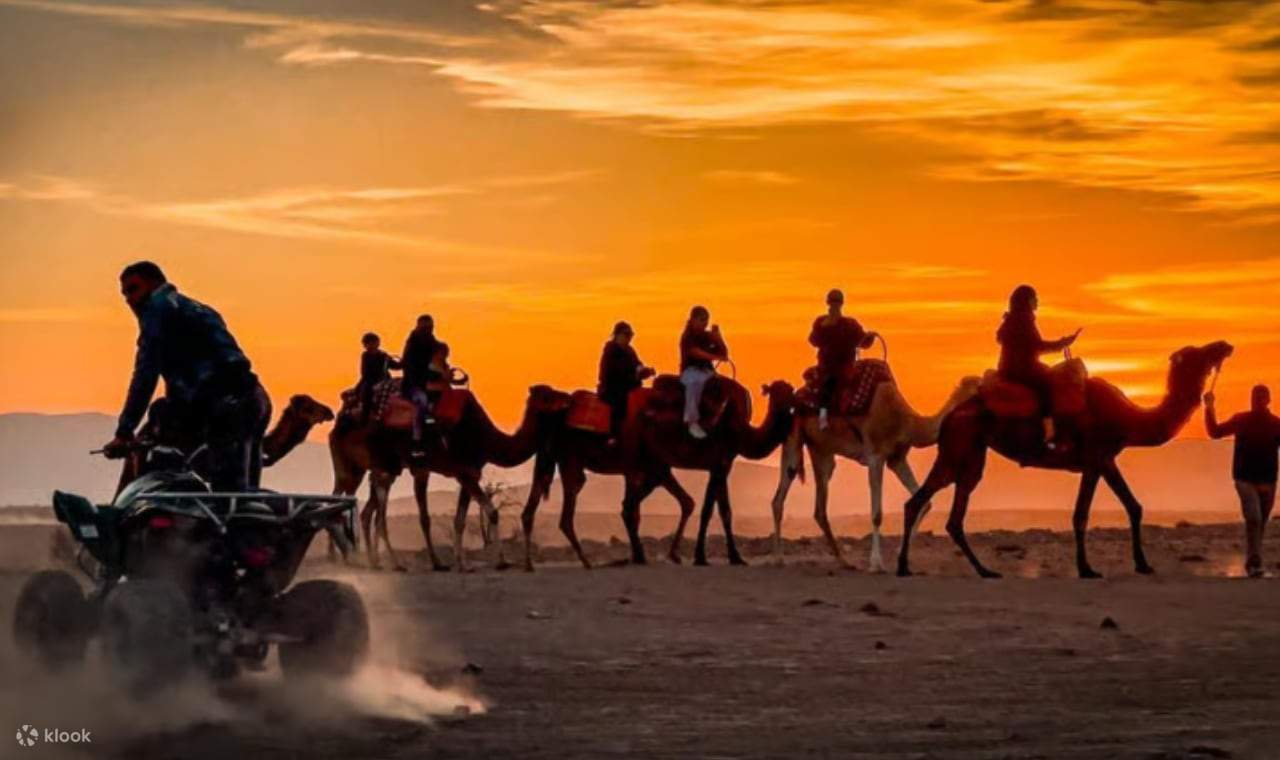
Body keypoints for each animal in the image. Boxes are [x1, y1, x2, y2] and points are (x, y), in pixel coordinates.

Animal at [328, 385, 571, 572]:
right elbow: (491, 512)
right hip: (358, 468)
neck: (484, 437)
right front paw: (500, 561)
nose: (568, 397)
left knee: (366, 509)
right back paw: (365, 561)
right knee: (355, 503)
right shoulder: (462, 472)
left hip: (380, 467)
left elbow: (460, 520)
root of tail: (341, 422)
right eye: (549, 396)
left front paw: (463, 563)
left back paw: (371, 561)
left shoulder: (468, 474)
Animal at [518, 412, 697, 571]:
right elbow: (685, 502)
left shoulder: (642, 471)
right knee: (565, 516)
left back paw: (529, 564)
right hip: (570, 462)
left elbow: (633, 508)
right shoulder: (657, 469)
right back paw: (586, 561)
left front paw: (642, 555)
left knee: (531, 508)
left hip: (554, 461)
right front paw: (668, 555)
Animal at [620, 377, 796, 566]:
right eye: (778, 394)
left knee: (631, 503)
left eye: (790, 392)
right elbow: (715, 510)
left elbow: (717, 510)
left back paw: (646, 555)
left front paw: (720, 556)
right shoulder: (719, 464)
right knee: (631, 503)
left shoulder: (722, 465)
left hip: (653, 464)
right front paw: (715, 557)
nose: (790, 407)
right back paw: (641, 556)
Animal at [769, 375, 981, 571]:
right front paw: (876, 563)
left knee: (814, 507)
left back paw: (844, 562)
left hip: (821, 450)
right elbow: (877, 514)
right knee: (785, 496)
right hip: (796, 439)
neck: (907, 422)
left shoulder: (897, 459)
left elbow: (925, 503)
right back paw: (778, 559)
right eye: (980, 388)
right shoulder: (875, 457)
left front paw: (901, 554)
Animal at [896, 340, 1234, 579]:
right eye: (1198, 353)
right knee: (926, 502)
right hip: (959, 446)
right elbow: (1081, 514)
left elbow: (1133, 507)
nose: (1224, 346)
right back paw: (906, 567)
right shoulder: (1096, 459)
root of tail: (950, 416)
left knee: (947, 512)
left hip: (969, 453)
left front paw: (1143, 565)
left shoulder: (1105, 460)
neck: (1128, 418)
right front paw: (1086, 569)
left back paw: (982, 570)